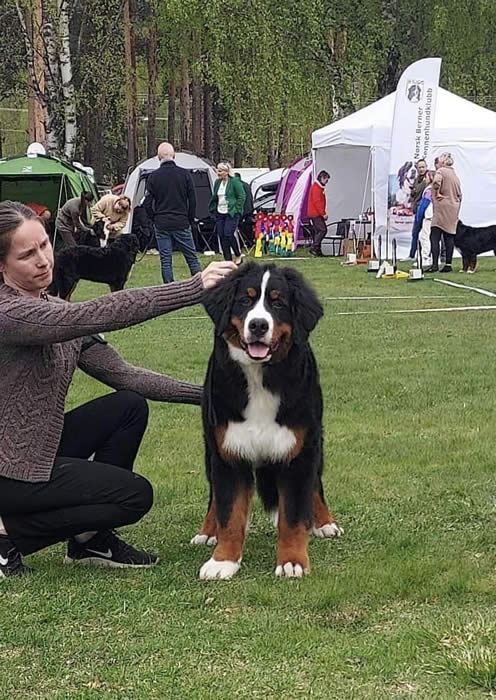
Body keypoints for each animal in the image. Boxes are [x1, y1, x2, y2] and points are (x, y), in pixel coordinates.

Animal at [192, 262, 342, 580]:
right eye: (245, 300)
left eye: (278, 302)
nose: (258, 325)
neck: (260, 378)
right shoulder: (229, 451)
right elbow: (229, 512)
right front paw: (223, 560)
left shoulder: (298, 451)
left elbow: (294, 515)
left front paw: (293, 561)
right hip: (210, 447)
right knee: (214, 497)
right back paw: (208, 531)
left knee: (316, 486)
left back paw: (324, 522)